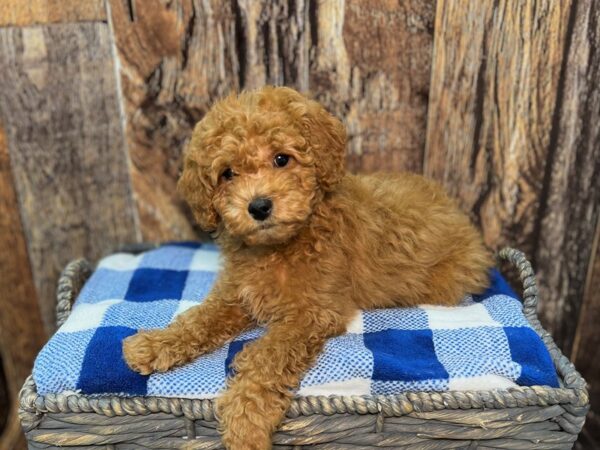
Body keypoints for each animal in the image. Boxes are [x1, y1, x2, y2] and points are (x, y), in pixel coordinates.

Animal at [123, 86, 492, 448]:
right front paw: (155, 344)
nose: (258, 206)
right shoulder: (236, 294)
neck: (279, 247)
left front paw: (245, 419)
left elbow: (268, 356)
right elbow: (200, 319)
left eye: (281, 159)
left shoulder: (311, 314)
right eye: (227, 174)